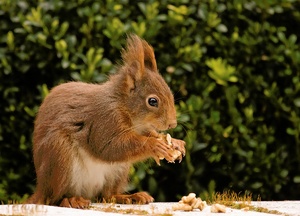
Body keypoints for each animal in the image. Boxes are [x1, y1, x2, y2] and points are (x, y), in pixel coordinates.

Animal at [26, 34, 185, 208]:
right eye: (153, 101)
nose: (172, 124)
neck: (122, 105)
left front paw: (175, 143)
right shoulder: (104, 120)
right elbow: (109, 147)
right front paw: (155, 145)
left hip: (118, 171)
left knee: (107, 195)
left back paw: (128, 197)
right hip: (59, 157)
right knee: (54, 198)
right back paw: (70, 199)